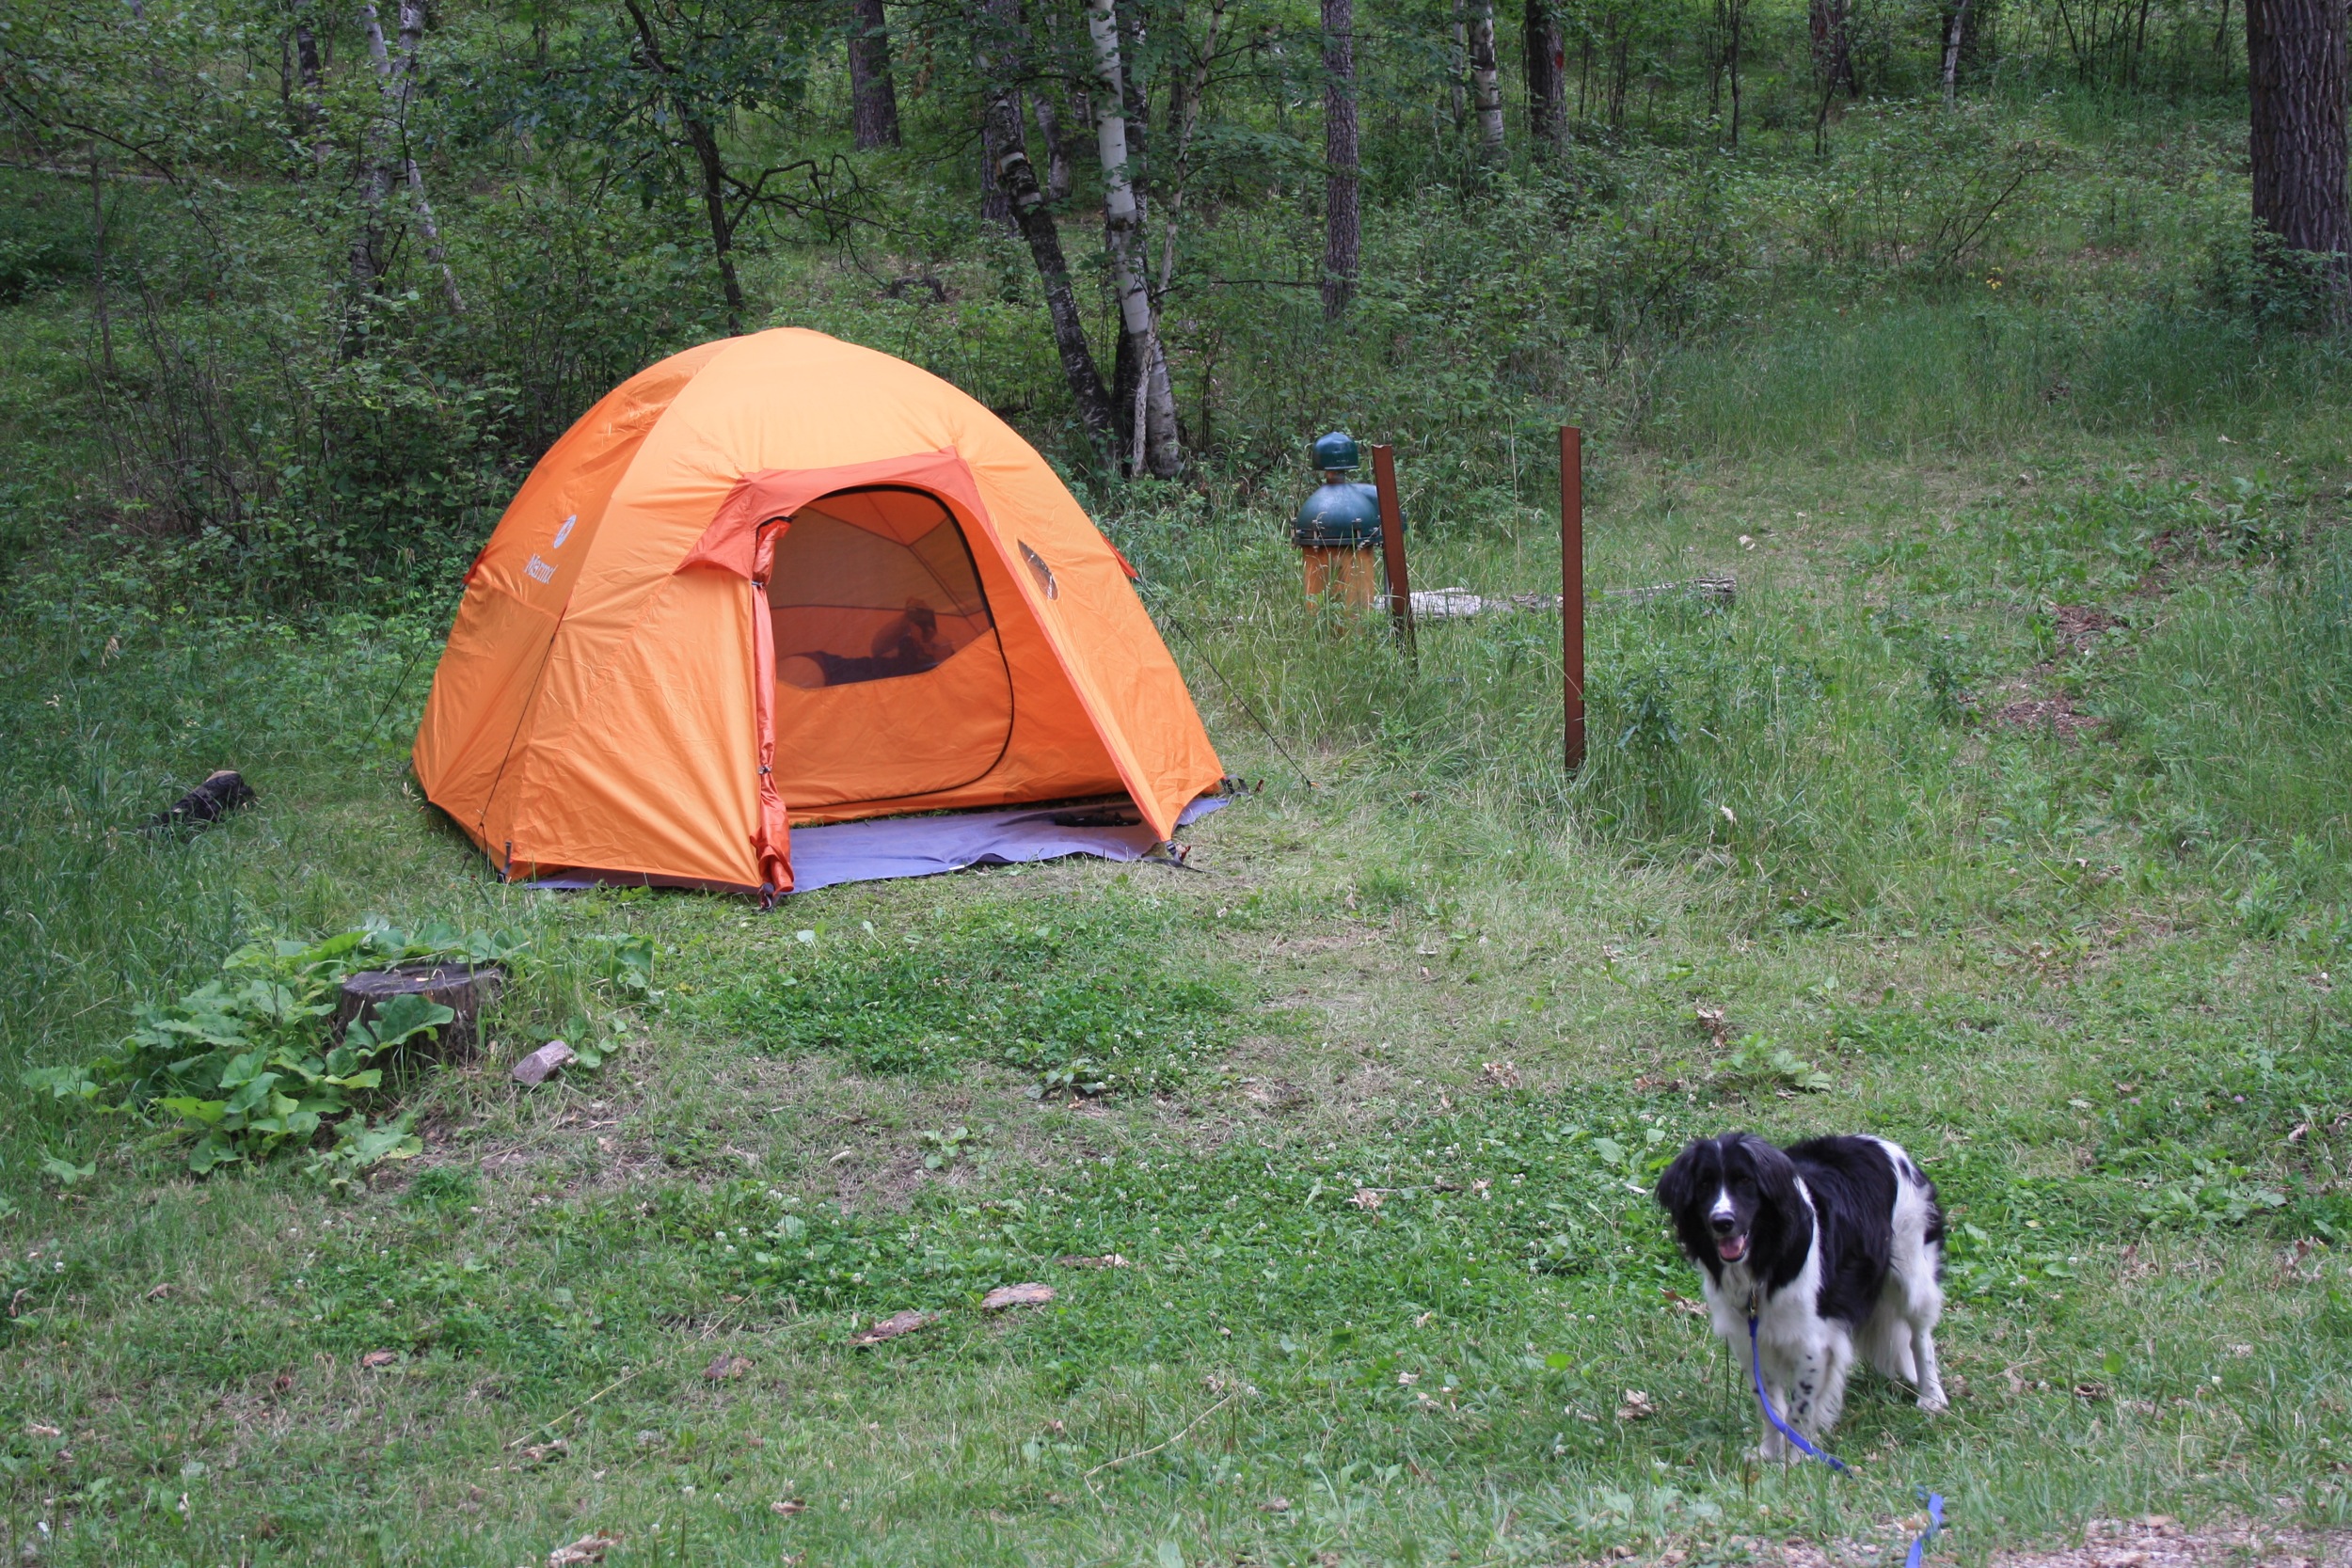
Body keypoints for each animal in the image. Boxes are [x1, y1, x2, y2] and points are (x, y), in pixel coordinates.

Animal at [1656, 1142, 1947, 1457]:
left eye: (1745, 1181)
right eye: (1704, 1184)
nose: (1722, 1222)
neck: (1763, 1263)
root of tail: (1880, 1144)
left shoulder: (1813, 1344)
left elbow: (1801, 1406)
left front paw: (1793, 1458)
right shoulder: (1750, 1340)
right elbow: (1768, 1403)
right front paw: (1769, 1454)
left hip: (1912, 1276)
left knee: (1919, 1336)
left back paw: (1932, 1397)